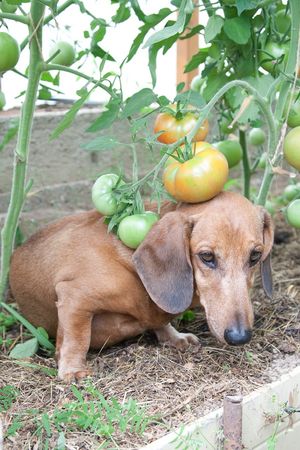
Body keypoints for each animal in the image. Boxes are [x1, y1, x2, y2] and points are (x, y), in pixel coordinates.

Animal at [8, 192, 274, 382]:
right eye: (207, 256)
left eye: (255, 256)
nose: (240, 337)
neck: (135, 273)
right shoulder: (73, 295)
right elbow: (77, 337)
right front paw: (72, 369)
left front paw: (174, 337)